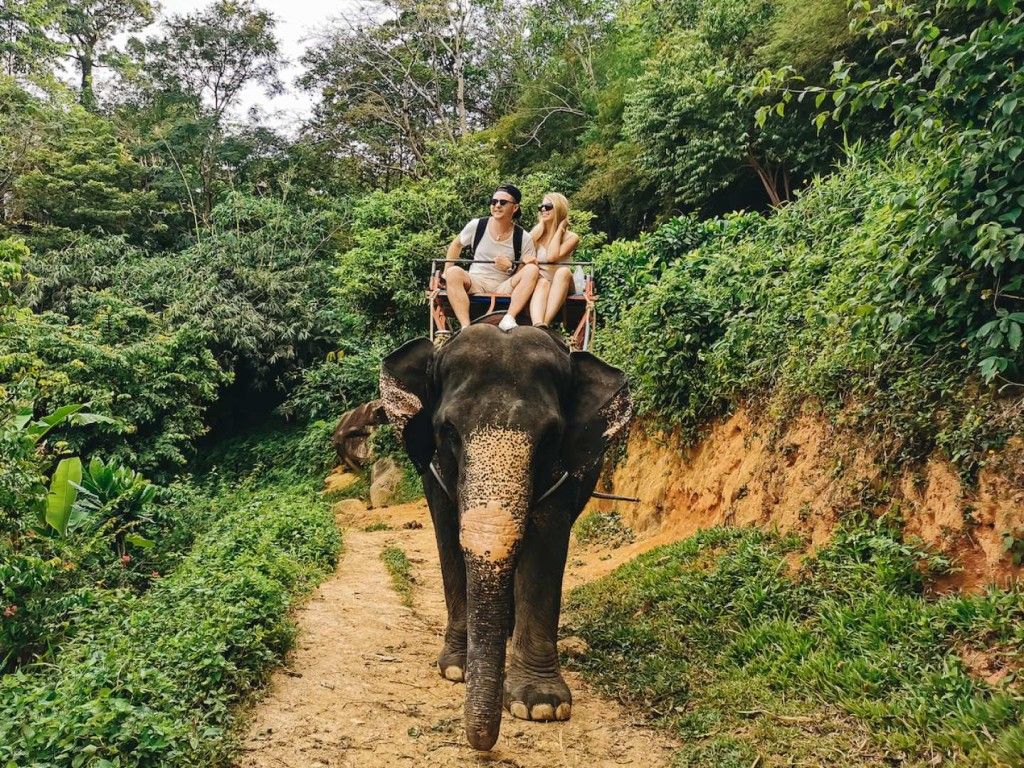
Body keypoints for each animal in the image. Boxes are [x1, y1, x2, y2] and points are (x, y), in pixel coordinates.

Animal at [379, 321, 632, 751]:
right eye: (449, 431)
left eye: (549, 437)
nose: (482, 743)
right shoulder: (433, 468)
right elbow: (447, 536)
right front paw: (457, 670)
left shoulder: (563, 471)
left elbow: (545, 547)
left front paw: (541, 706)